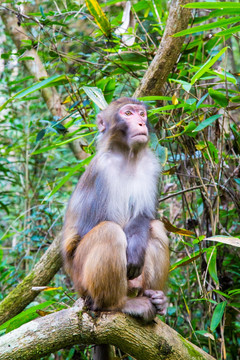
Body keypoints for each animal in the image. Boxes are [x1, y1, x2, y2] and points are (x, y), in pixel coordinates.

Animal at [62, 97, 170, 358]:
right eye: (128, 114)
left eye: (142, 113)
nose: (140, 122)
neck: (127, 156)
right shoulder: (100, 171)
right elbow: (90, 227)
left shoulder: (151, 166)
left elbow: (144, 217)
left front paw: (136, 248)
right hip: (82, 281)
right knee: (109, 231)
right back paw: (118, 305)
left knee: (156, 229)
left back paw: (155, 298)